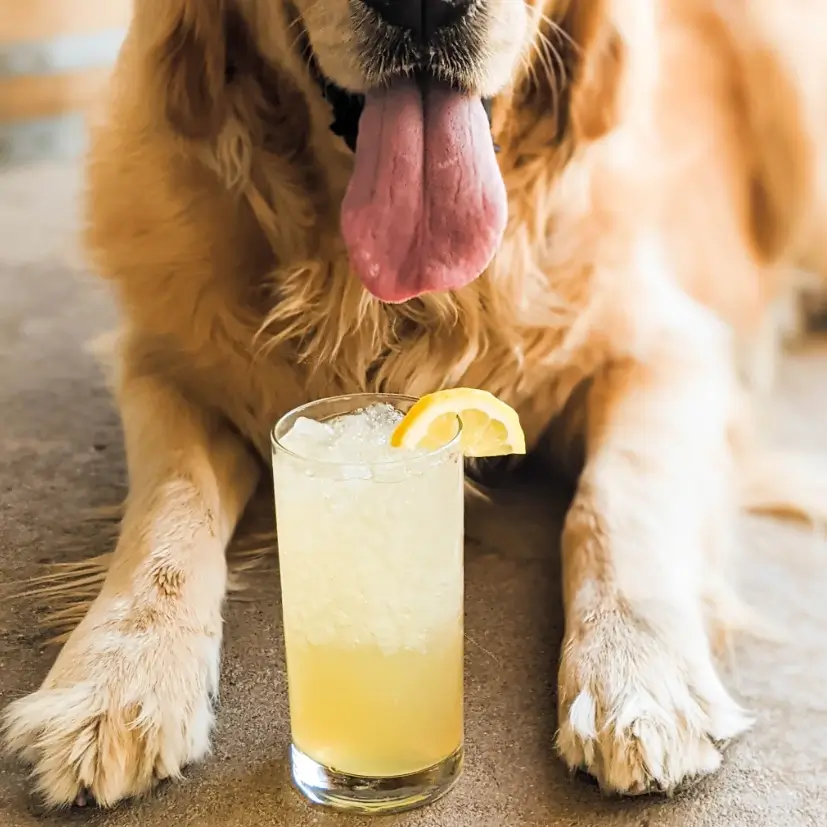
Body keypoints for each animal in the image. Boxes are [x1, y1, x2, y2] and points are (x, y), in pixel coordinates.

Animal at [1, 0, 827, 808]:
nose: (423, 3)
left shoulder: (663, 347)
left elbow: (613, 498)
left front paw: (636, 673)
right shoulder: (166, 364)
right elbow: (169, 512)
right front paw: (115, 675)